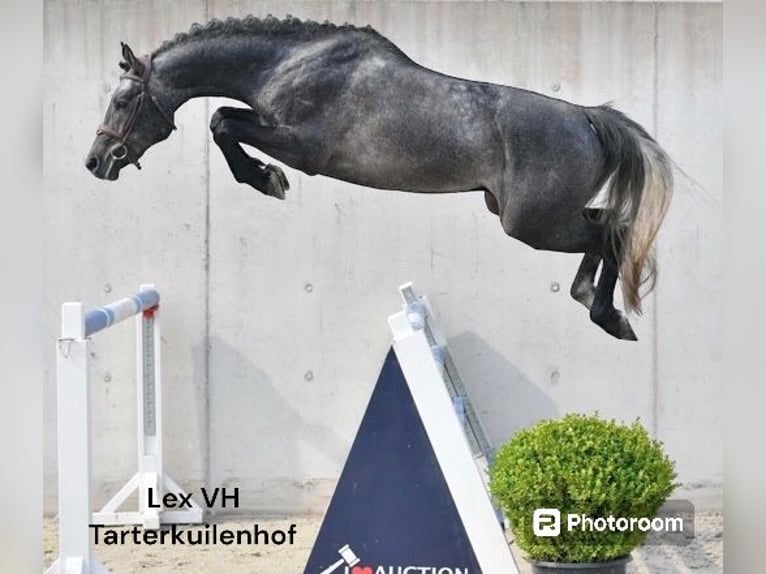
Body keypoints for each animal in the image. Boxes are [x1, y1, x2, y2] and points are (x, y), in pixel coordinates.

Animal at [85, 15, 672, 342]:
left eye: (123, 100)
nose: (96, 161)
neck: (290, 63)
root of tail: (588, 117)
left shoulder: (303, 146)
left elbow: (223, 123)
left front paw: (266, 179)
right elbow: (225, 119)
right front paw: (264, 177)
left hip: (532, 224)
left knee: (613, 232)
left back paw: (608, 316)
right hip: (540, 215)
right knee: (608, 226)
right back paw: (590, 301)